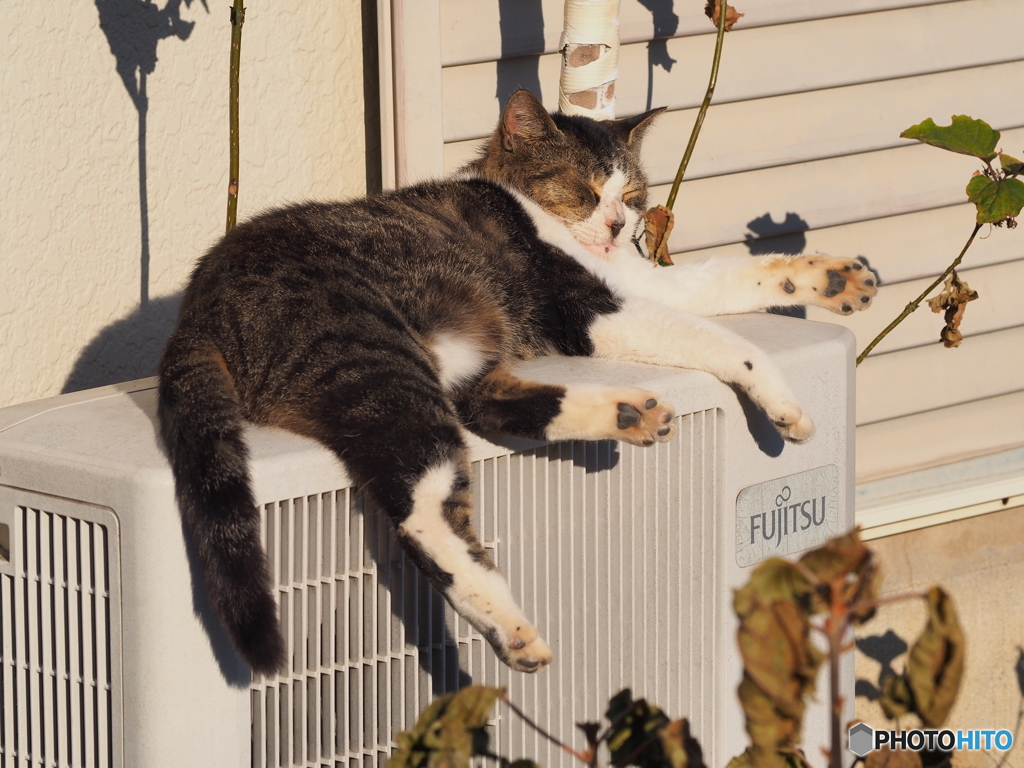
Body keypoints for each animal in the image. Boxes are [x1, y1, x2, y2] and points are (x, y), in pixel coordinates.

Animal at [155, 90, 876, 675]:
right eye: (585, 189)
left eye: (633, 197)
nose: (619, 226)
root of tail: (196, 310)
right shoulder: (593, 313)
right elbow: (727, 341)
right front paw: (784, 403)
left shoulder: (644, 281)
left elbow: (732, 273)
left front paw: (834, 277)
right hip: (372, 355)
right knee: (420, 508)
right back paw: (512, 629)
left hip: (441, 359)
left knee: (485, 412)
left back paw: (626, 415)